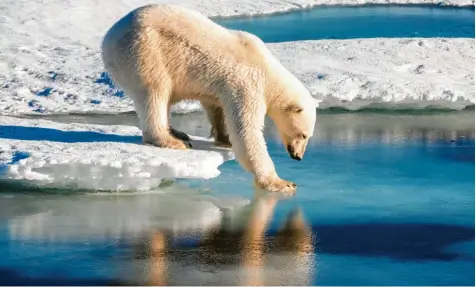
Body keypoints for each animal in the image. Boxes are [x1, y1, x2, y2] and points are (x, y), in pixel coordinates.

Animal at [101, 3, 316, 194]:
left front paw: (224, 138)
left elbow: (216, 107)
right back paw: (171, 140)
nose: (298, 157)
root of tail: (107, 39)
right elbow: (247, 131)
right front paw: (281, 183)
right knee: (155, 92)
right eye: (303, 135)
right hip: (144, 51)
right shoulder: (247, 84)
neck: (268, 71)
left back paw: (178, 133)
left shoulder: (221, 87)